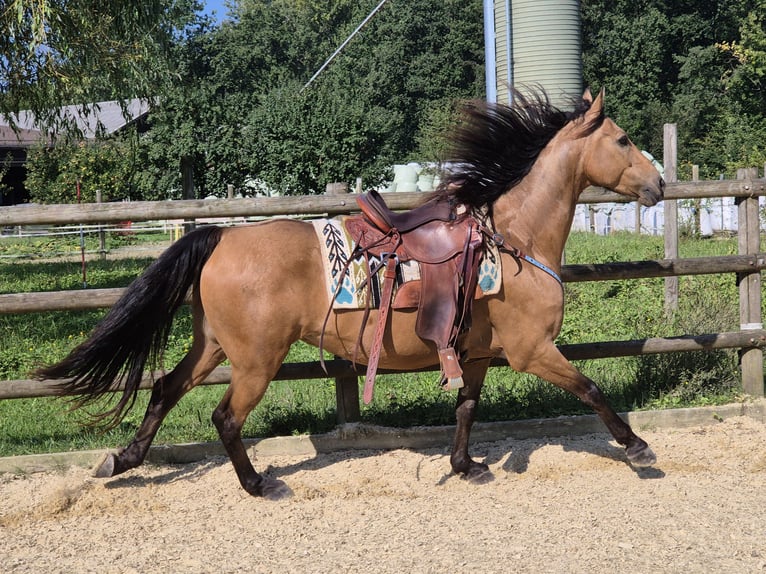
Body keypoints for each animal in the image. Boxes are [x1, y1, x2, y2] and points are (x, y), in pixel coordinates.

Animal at [39, 89, 664, 500]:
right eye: (623, 139)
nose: (659, 183)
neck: (514, 241)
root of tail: (220, 236)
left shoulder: (477, 354)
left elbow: (465, 408)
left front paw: (465, 465)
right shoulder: (532, 351)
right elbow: (591, 388)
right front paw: (636, 447)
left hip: (213, 345)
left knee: (166, 388)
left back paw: (122, 460)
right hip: (256, 360)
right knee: (225, 417)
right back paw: (257, 483)